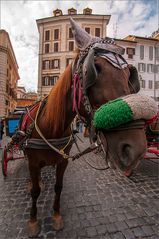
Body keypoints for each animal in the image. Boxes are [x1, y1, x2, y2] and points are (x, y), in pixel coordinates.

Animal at [19, 17, 147, 236]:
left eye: (128, 74)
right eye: (95, 69)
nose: (135, 149)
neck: (51, 127)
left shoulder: (63, 162)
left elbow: (58, 187)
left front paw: (56, 216)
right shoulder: (34, 163)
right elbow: (35, 192)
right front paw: (33, 221)